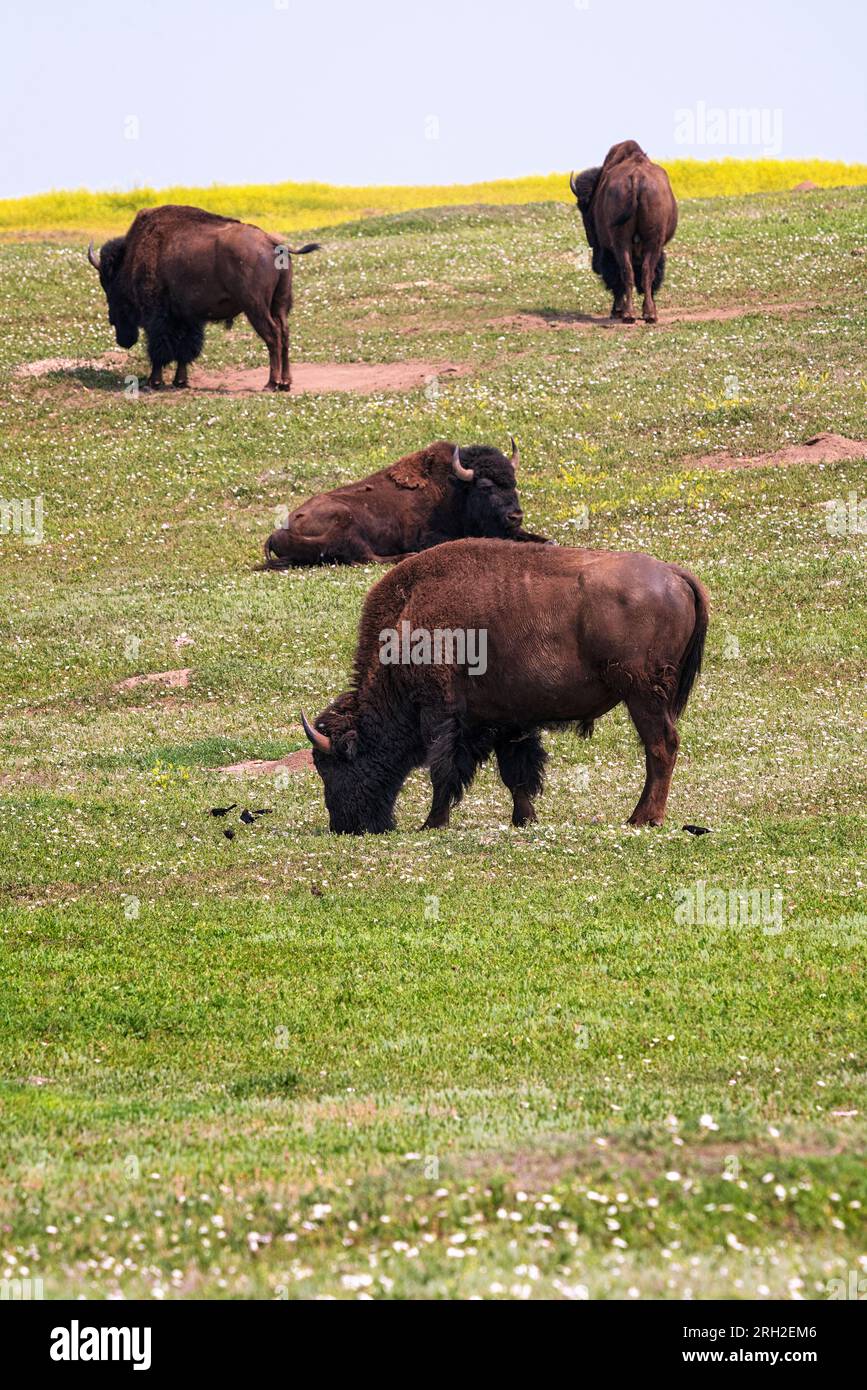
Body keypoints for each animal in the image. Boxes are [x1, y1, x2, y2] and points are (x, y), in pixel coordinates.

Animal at [87, 201, 322, 389]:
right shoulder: (188, 318)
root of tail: (272, 242)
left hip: (256, 307)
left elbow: (159, 348)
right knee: (284, 334)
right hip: (279, 305)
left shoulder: (159, 317)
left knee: (273, 337)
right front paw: (180, 381)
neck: (132, 257)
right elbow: (185, 349)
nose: (123, 337)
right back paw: (285, 383)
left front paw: (155, 382)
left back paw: (271, 384)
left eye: (109, 286)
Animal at [261, 433, 552, 564]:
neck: (455, 491)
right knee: (369, 557)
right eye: (484, 486)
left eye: (513, 483)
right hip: (346, 522)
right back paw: (407, 556)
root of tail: (277, 531)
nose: (515, 515)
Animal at [301, 536, 708, 828]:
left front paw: (432, 823)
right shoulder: (508, 720)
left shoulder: (440, 713)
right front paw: (524, 820)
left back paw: (643, 818)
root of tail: (675, 574)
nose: (345, 825)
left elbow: (444, 769)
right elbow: (517, 773)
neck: (407, 613)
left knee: (661, 747)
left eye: (333, 764)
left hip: (642, 694)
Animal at [572, 141, 680, 325]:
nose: (591, 240)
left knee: (628, 273)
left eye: (584, 208)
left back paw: (629, 314)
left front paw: (616, 311)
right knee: (643, 273)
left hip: (621, 244)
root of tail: (636, 177)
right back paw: (647, 314)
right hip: (651, 243)